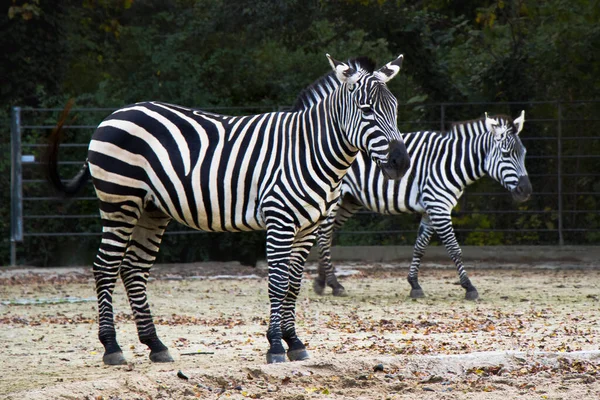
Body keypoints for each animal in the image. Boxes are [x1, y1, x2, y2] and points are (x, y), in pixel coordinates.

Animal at [47, 54, 412, 366]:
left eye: (394, 108)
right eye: (366, 109)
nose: (401, 162)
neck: (308, 150)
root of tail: (114, 115)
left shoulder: (309, 226)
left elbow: (294, 284)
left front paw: (295, 343)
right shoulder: (280, 219)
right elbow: (278, 282)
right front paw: (275, 346)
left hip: (151, 209)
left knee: (134, 269)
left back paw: (155, 345)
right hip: (120, 201)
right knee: (105, 267)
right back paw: (112, 347)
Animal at [312, 112, 532, 300]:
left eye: (524, 154)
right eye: (505, 154)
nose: (526, 190)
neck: (451, 162)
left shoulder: (430, 210)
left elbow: (419, 247)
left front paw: (414, 285)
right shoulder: (439, 207)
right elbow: (454, 248)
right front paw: (469, 287)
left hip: (349, 201)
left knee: (327, 235)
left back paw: (322, 282)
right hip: (335, 199)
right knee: (323, 235)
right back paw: (334, 284)